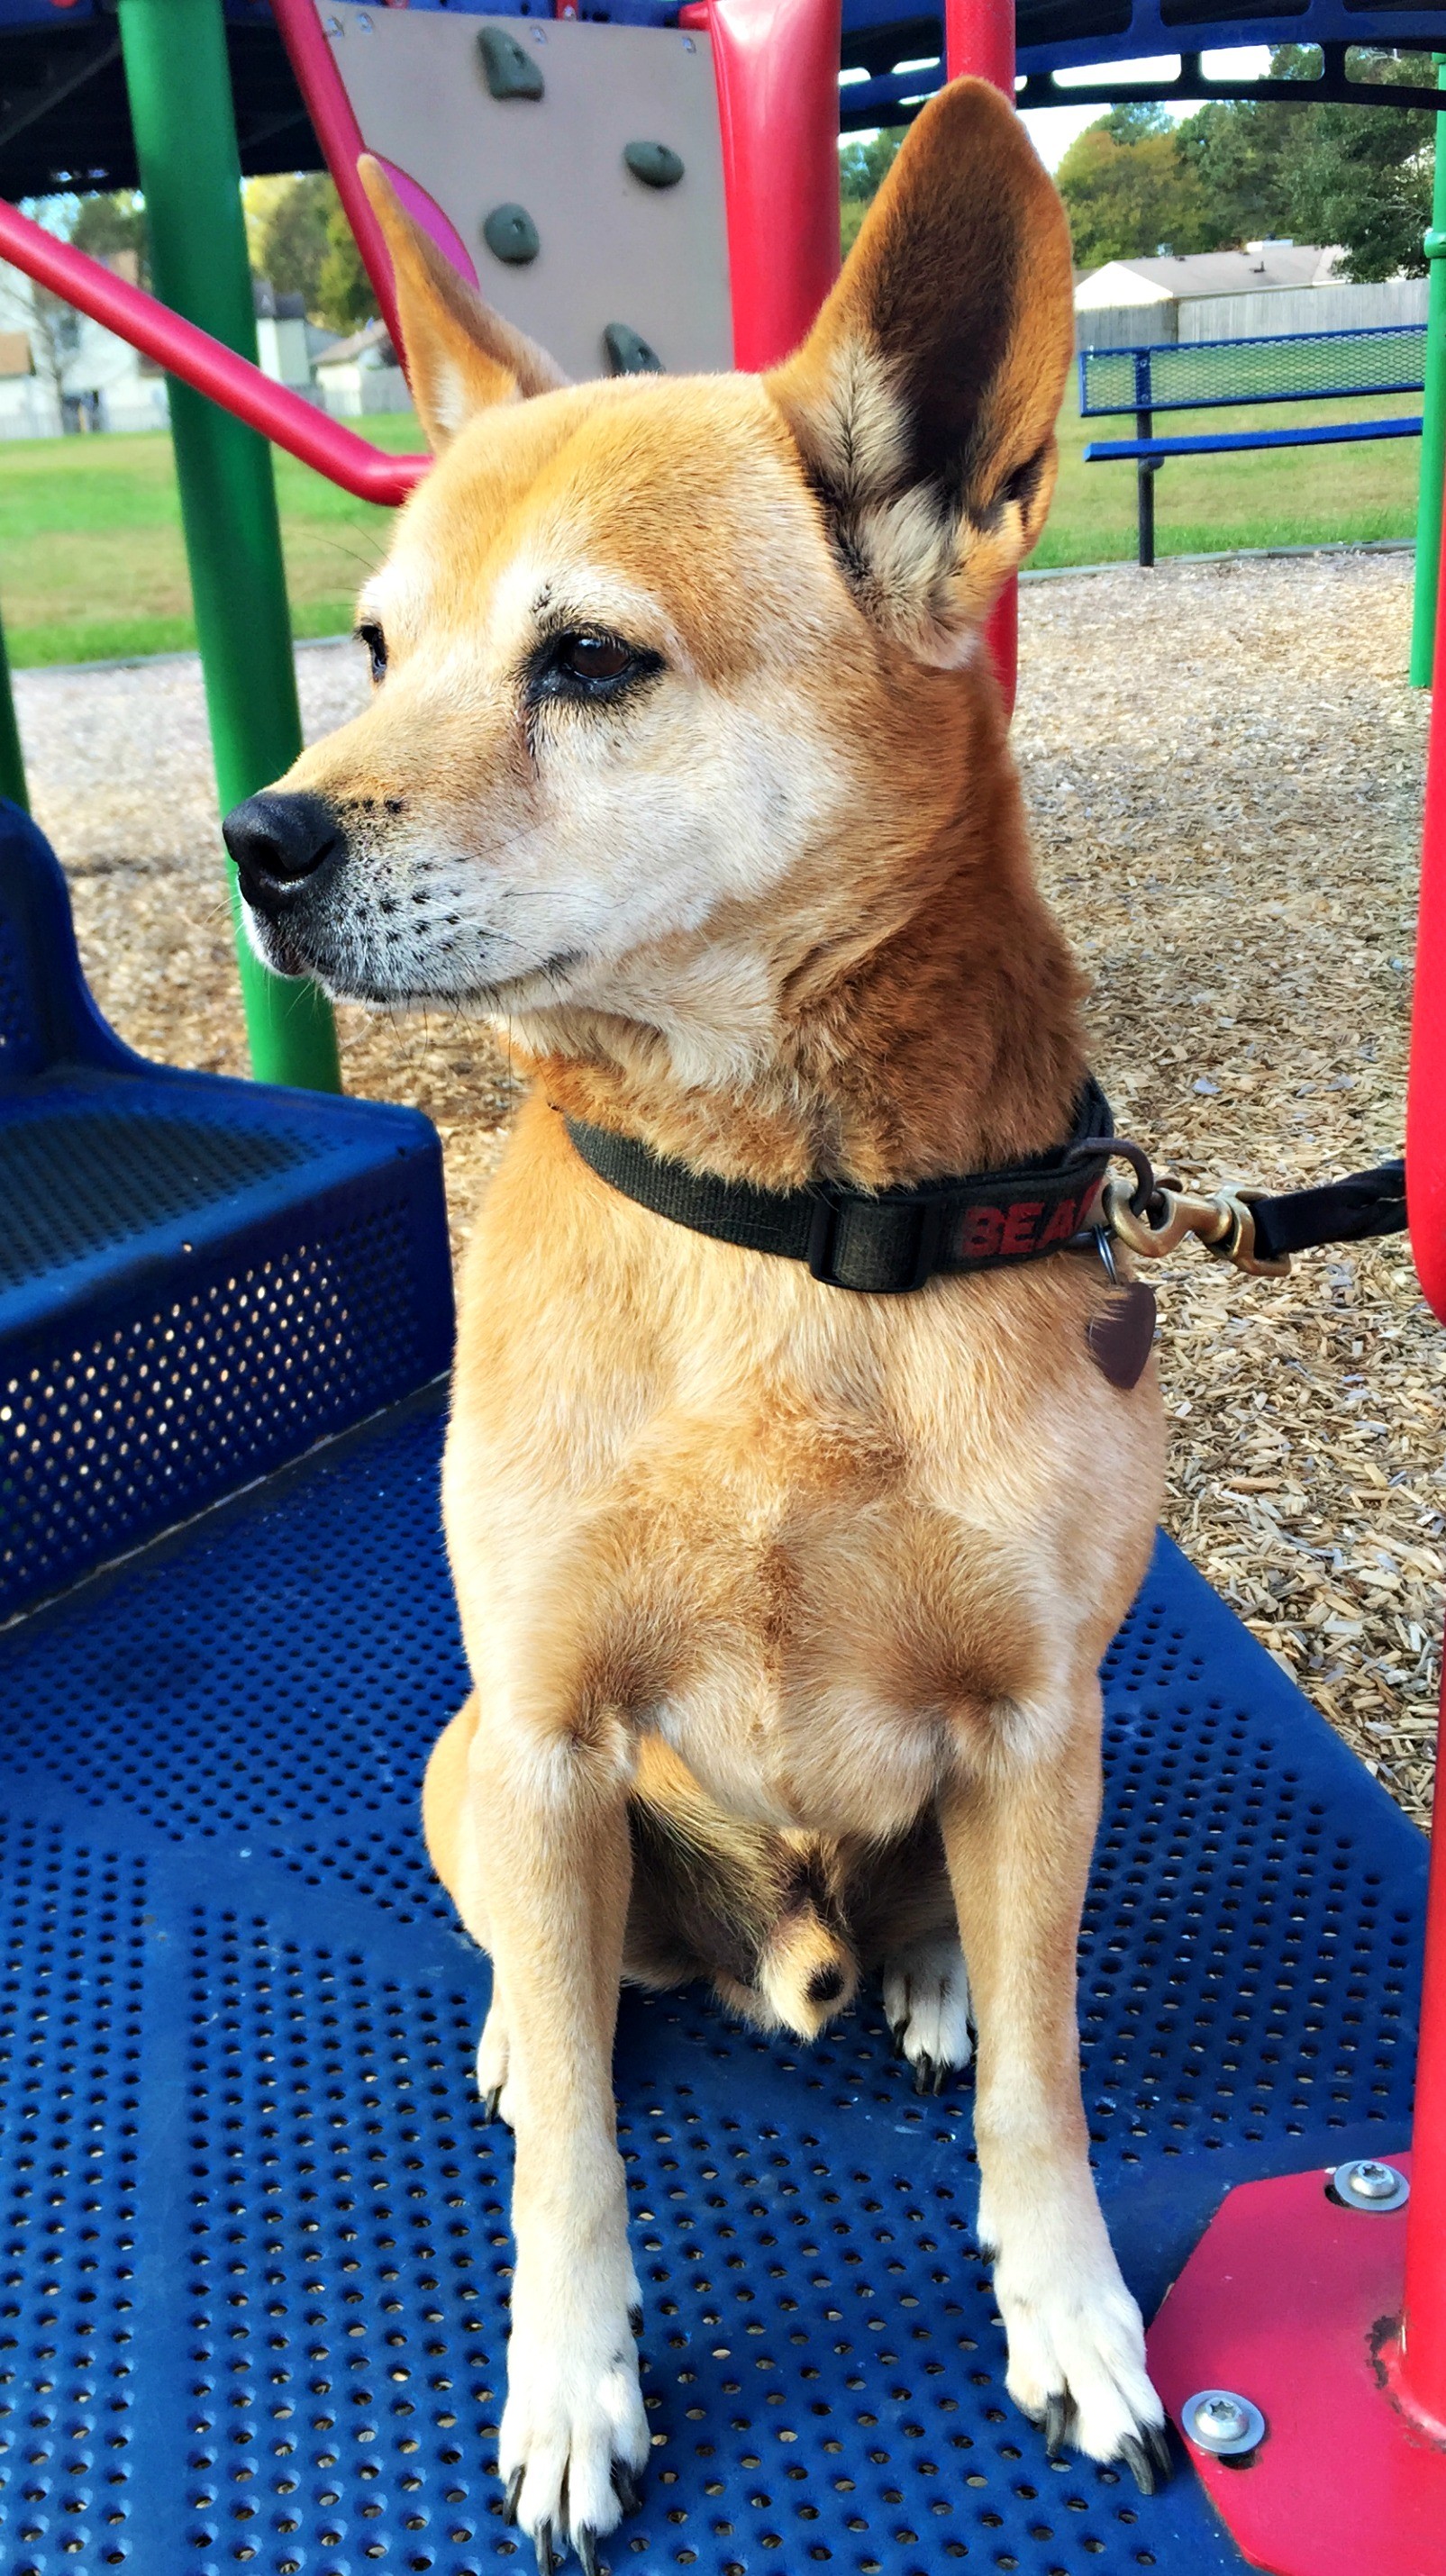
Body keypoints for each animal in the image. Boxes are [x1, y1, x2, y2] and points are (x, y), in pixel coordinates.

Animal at [228, 80, 1175, 2576]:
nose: (256, 836)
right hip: (475, 1758)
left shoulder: (1041, 1719)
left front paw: (1073, 2313)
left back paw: (922, 1969)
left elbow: (1051, 2092)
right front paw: (572, 2386)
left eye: (586, 659)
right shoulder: (556, 1725)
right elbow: (575, 2148)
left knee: (950, 1934)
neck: (779, 1235)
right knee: (545, 1970)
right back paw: (515, 2009)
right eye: (372, 643)